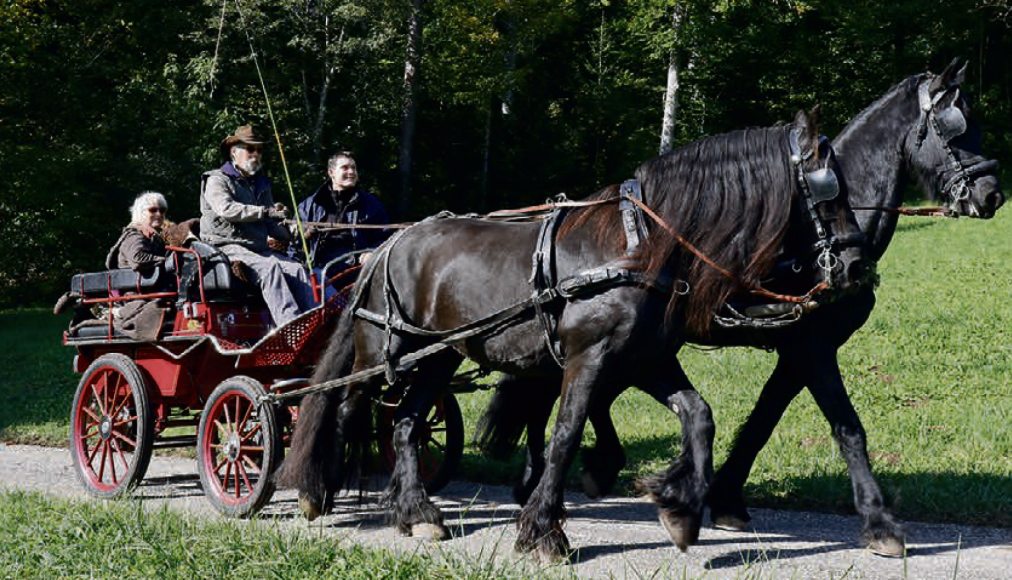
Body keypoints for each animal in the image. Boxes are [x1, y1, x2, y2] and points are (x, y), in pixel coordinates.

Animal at [279, 109, 878, 562]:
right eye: (828, 191)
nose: (856, 266)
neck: (641, 246)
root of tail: (387, 243)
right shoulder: (588, 358)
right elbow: (565, 436)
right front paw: (544, 532)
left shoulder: (646, 359)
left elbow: (699, 416)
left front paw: (679, 507)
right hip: (383, 350)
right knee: (346, 408)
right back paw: (319, 493)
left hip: (440, 357)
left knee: (405, 423)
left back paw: (417, 513)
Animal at [473, 57, 1003, 554]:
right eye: (956, 128)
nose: (992, 194)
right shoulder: (812, 347)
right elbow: (847, 427)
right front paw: (880, 523)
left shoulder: (797, 351)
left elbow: (762, 422)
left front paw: (723, 497)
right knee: (556, 396)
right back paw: (546, 482)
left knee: (568, 394)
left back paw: (563, 476)